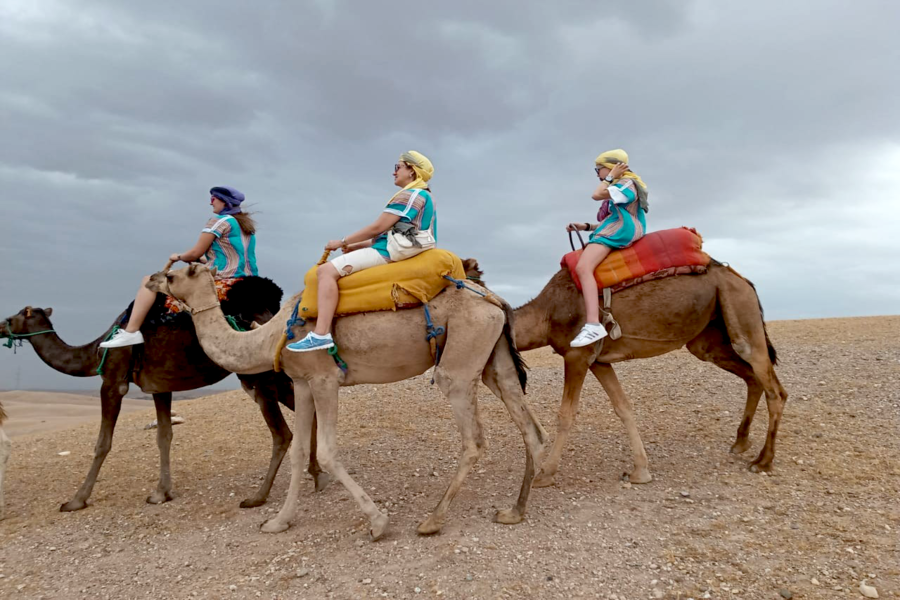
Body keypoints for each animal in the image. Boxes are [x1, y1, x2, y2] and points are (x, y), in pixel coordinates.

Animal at [0, 278, 324, 512]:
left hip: (258, 375)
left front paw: (76, 500)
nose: (0, 326)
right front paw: (161, 493)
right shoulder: (159, 386)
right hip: (278, 372)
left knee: (282, 433)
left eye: (12, 317)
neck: (94, 352)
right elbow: (164, 435)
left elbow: (102, 443)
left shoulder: (113, 381)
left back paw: (259, 496)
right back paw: (316, 474)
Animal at [148, 262, 544, 540]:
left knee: (473, 437)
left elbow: (325, 451)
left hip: (460, 362)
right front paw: (278, 522)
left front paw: (378, 522)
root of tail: (495, 299)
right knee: (529, 426)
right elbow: (298, 452)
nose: (150, 279)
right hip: (494, 359)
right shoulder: (302, 381)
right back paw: (514, 511)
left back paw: (432, 520)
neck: (270, 336)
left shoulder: (325, 380)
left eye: (173, 275)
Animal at [464, 256, 788, 488]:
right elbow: (623, 407)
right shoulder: (599, 361)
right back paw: (741, 443)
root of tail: (743, 280)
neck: (546, 315)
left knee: (773, 387)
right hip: (709, 337)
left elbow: (566, 414)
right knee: (751, 377)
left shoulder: (577, 355)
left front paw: (546, 474)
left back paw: (764, 461)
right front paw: (640, 471)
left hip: (739, 309)